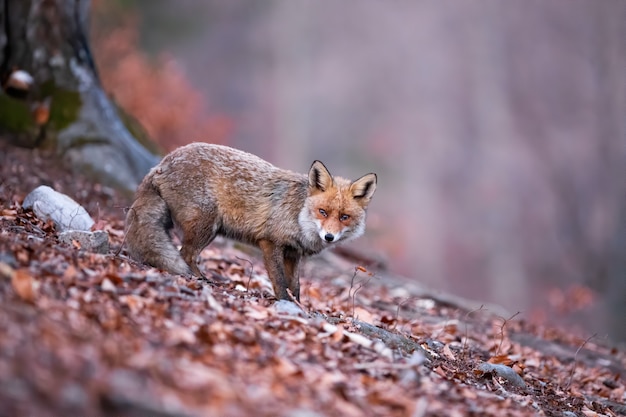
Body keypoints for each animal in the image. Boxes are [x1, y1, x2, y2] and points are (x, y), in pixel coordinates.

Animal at [123, 143, 376, 300]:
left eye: (344, 217)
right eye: (323, 212)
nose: (329, 237)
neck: (298, 215)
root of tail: (160, 164)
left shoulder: (293, 253)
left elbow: (296, 286)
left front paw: (299, 306)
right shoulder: (271, 243)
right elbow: (280, 282)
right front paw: (285, 304)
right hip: (206, 226)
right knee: (185, 254)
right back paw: (200, 279)